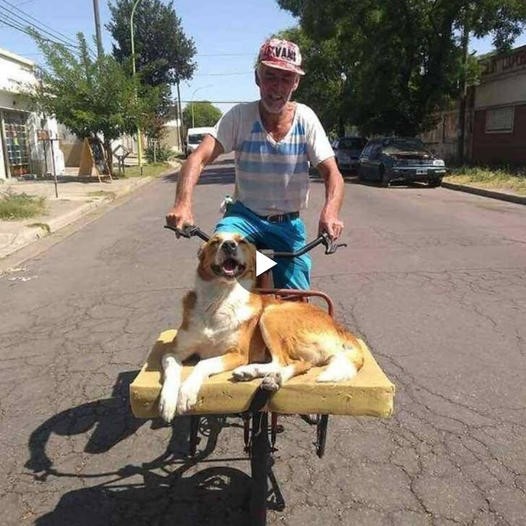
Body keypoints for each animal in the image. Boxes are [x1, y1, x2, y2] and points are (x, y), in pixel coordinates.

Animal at [159, 233, 366, 422]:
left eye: (241, 241)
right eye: (215, 242)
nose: (229, 245)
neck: (220, 299)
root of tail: (339, 328)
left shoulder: (238, 354)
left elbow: (203, 364)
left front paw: (186, 393)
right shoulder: (174, 352)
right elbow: (172, 369)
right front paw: (167, 402)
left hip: (271, 313)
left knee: (282, 361)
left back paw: (254, 371)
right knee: (299, 363)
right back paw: (269, 377)